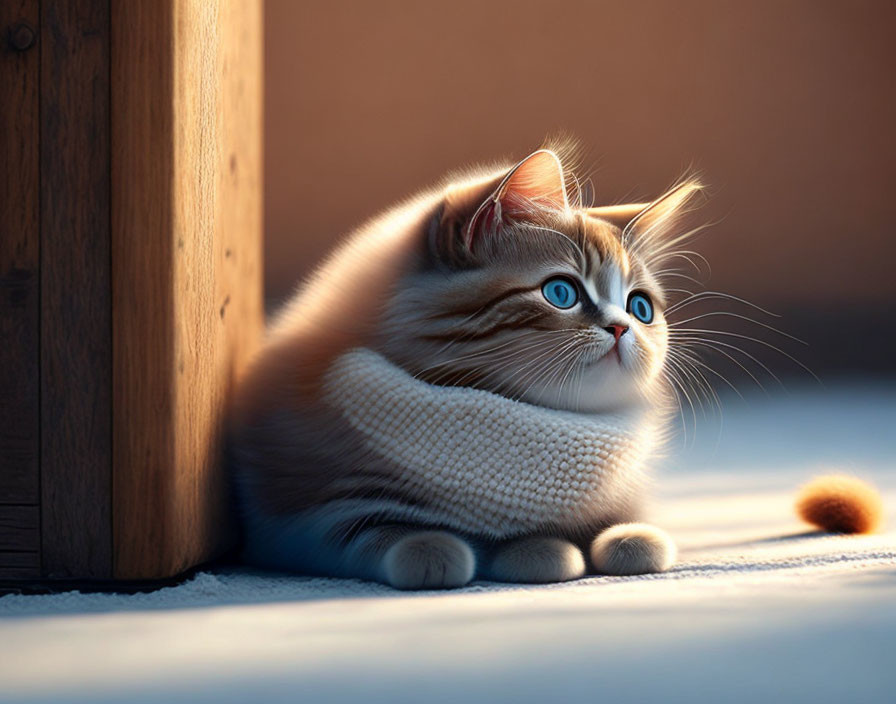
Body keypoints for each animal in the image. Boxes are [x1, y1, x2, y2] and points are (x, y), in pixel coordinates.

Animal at [228, 146, 704, 592]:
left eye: (640, 307)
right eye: (561, 292)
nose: (622, 327)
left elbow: (629, 525)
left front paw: (626, 536)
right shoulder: (295, 510)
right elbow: (370, 528)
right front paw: (445, 548)